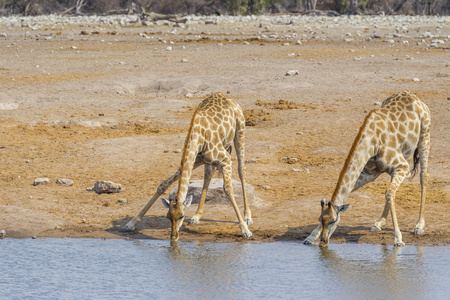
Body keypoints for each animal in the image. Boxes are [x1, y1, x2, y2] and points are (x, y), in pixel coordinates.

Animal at [123, 91, 253, 241]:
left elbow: (228, 189)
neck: (197, 137)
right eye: (168, 217)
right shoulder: (192, 161)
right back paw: (197, 216)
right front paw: (131, 223)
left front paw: (245, 229)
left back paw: (248, 217)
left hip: (240, 131)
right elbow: (163, 184)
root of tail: (226, 97)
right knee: (208, 175)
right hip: (208, 160)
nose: (173, 237)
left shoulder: (225, 159)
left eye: (182, 216)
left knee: (241, 170)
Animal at [304, 90, 430, 247]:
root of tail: (415, 97)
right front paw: (310, 237)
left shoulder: (402, 166)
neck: (371, 143)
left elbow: (389, 193)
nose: (323, 242)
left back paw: (419, 225)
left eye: (333, 221)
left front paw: (398, 239)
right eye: (320, 219)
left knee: (423, 177)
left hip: (424, 137)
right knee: (393, 187)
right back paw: (379, 223)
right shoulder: (369, 173)